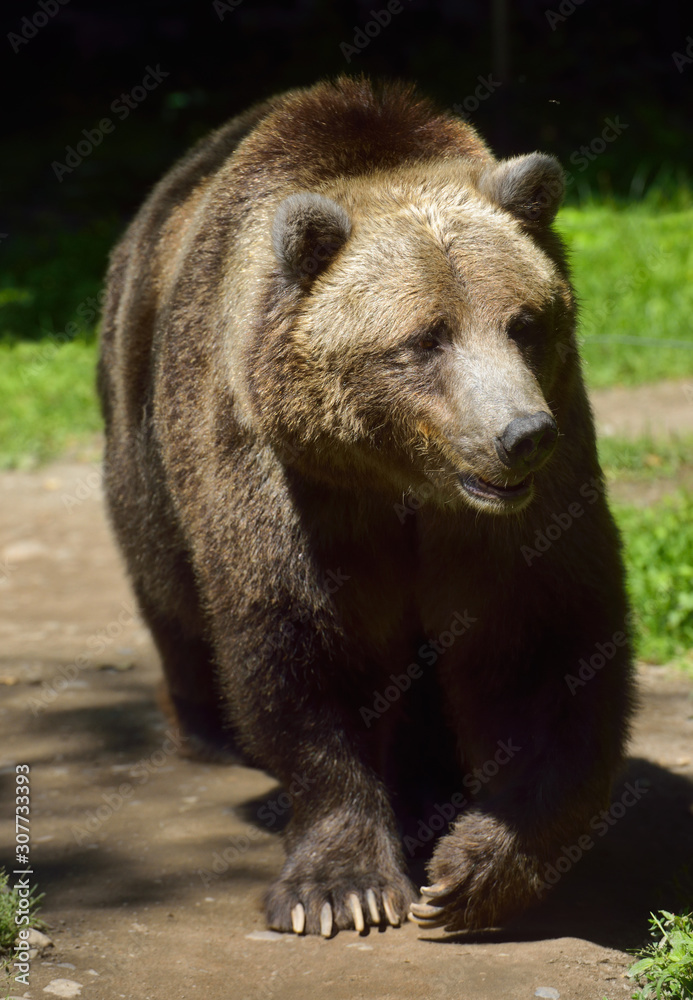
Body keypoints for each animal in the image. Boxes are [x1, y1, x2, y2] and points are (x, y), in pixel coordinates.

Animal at [97, 76, 632, 936]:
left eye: (523, 322)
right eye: (424, 338)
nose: (519, 436)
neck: (401, 480)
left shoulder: (522, 506)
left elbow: (540, 642)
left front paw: (471, 869)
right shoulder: (292, 481)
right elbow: (308, 648)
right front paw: (341, 888)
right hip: (141, 431)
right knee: (170, 589)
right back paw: (208, 730)